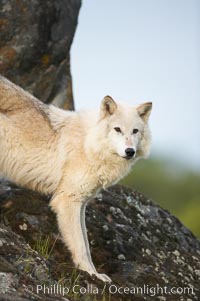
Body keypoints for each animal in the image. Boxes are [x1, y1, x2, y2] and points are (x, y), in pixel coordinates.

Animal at [0, 75, 152, 282]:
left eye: (135, 131)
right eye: (117, 129)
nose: (130, 151)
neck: (89, 144)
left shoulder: (81, 204)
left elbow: (86, 243)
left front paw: (94, 273)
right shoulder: (67, 200)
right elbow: (80, 245)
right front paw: (91, 273)